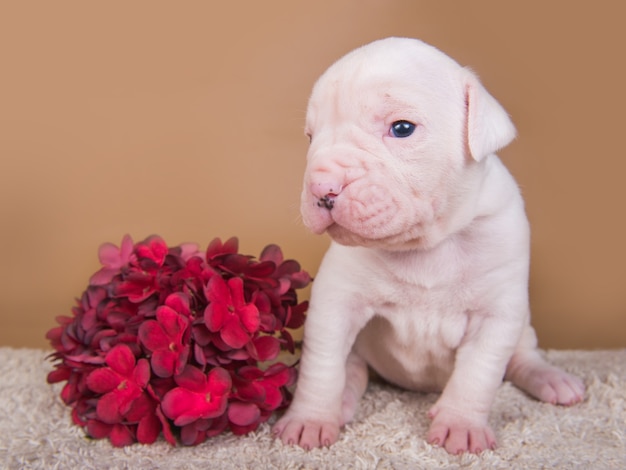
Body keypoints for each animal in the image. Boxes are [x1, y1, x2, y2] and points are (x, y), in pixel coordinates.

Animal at [270, 37, 584, 456]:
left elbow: (478, 373)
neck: (426, 244)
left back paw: (551, 379)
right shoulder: (336, 302)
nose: (322, 187)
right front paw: (310, 418)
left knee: (522, 356)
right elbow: (322, 366)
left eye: (402, 128)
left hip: (524, 326)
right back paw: (345, 399)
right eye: (310, 136)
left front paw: (461, 425)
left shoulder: (497, 312)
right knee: (351, 366)